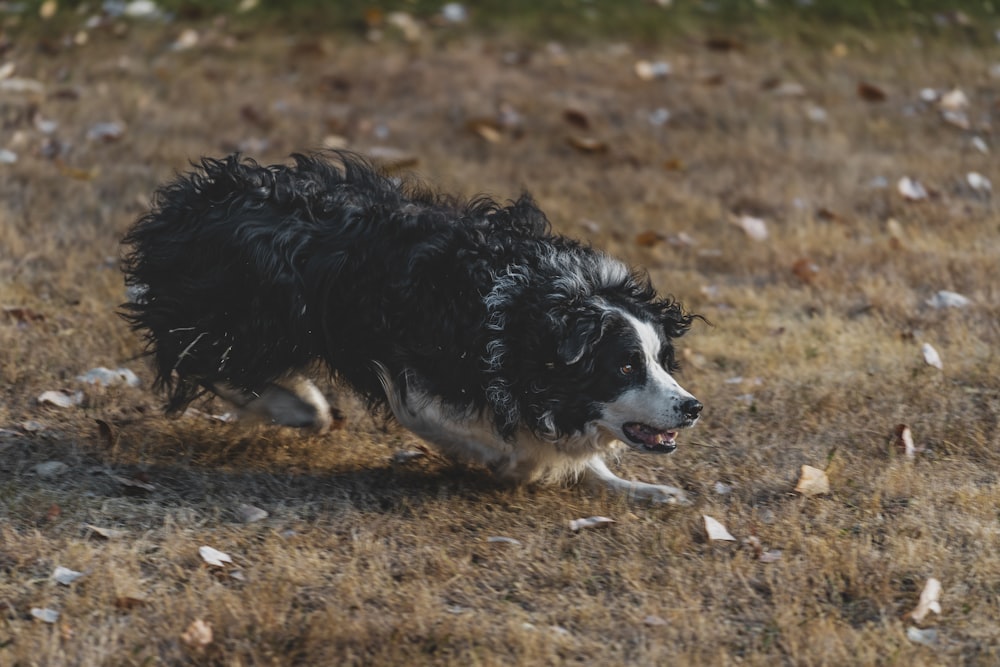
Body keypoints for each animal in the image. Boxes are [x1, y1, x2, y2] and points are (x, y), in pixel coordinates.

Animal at [121, 153, 704, 500]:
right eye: (625, 366)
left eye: (662, 360)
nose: (693, 407)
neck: (537, 313)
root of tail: (198, 194)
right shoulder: (415, 369)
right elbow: (473, 434)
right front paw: (519, 463)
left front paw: (642, 489)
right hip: (254, 308)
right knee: (206, 357)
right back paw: (295, 405)